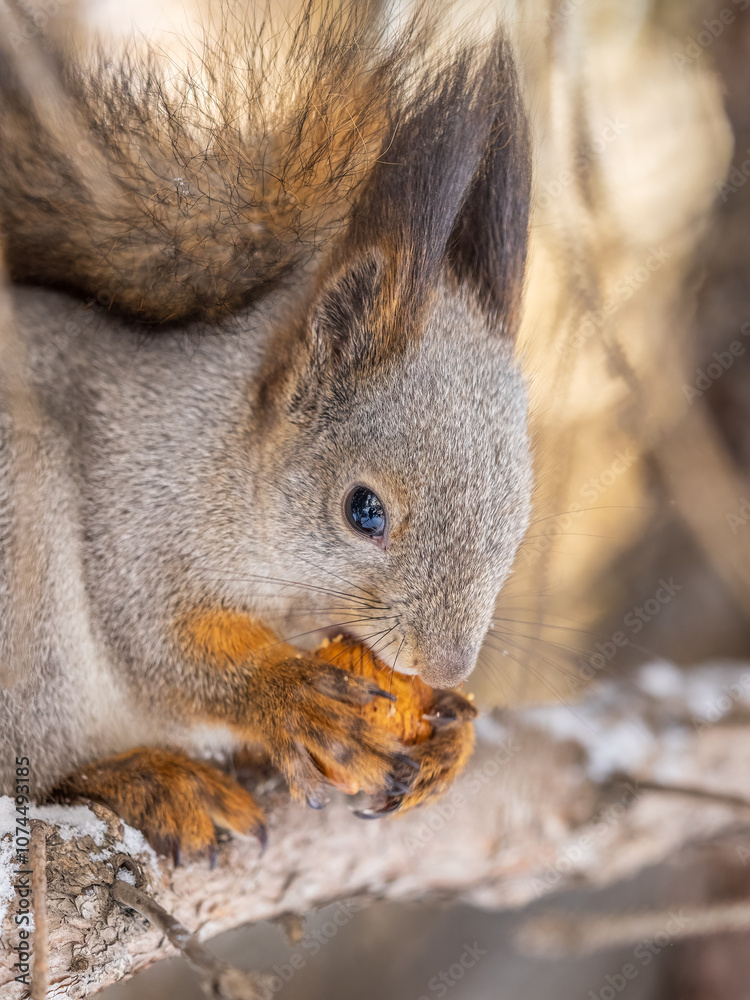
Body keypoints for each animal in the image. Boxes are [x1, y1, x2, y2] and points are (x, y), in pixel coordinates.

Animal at [0, 1, 533, 860]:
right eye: (363, 511)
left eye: (517, 526)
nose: (448, 666)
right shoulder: (137, 501)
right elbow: (157, 638)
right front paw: (290, 699)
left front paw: (455, 730)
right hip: (24, 532)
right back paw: (142, 776)